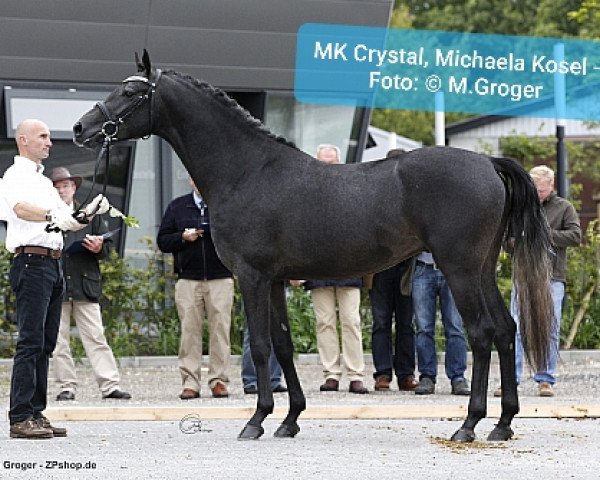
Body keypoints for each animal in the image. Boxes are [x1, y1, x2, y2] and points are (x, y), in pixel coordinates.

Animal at [75, 51, 552, 442]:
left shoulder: (251, 277)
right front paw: (289, 420)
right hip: (483, 268)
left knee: (481, 333)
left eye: (131, 91)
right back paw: (503, 424)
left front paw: (255, 421)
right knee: (505, 330)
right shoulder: (274, 281)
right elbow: (282, 345)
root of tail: (487, 162)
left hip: (460, 269)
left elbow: (261, 346)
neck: (247, 171)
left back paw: (469, 425)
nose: (81, 127)